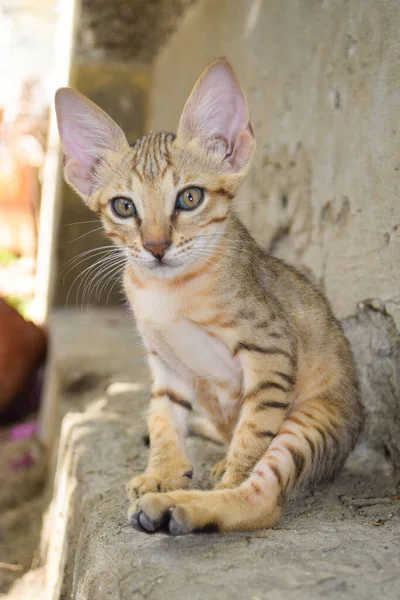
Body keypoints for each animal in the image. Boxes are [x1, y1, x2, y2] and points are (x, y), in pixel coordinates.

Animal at [54, 58, 364, 532]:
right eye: (124, 207)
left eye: (189, 198)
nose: (156, 246)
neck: (169, 292)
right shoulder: (165, 363)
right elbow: (163, 418)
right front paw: (162, 471)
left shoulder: (269, 353)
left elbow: (252, 435)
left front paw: (217, 475)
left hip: (311, 421)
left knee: (263, 499)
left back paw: (179, 507)